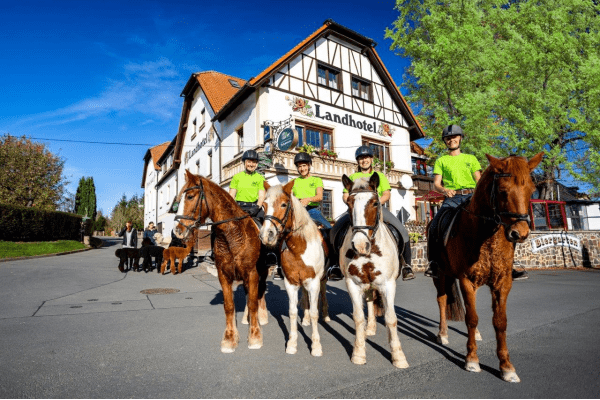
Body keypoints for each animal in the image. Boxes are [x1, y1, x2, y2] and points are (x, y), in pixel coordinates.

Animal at [172, 170, 268, 352]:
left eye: (190, 196)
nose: (177, 231)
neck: (232, 234)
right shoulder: (224, 275)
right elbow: (229, 306)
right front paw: (229, 338)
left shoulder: (252, 272)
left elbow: (253, 302)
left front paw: (255, 337)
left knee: (260, 291)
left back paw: (263, 317)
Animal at [258, 181, 326, 356]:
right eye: (264, 205)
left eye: (283, 204)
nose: (266, 235)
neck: (299, 248)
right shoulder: (292, 283)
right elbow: (293, 311)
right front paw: (292, 343)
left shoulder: (314, 282)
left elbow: (315, 312)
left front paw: (316, 346)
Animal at [340, 175, 410, 368]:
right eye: (348, 203)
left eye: (375, 203)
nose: (359, 245)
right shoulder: (353, 284)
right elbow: (358, 317)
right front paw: (358, 353)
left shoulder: (388, 284)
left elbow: (391, 318)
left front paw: (398, 356)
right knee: (370, 300)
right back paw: (369, 328)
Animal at [432, 152, 544, 382]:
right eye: (502, 191)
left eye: (531, 190)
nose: (520, 233)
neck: (486, 237)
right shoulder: (467, 280)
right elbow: (472, 318)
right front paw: (472, 360)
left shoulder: (503, 282)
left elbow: (500, 322)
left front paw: (507, 367)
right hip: (440, 275)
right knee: (442, 301)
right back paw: (443, 334)